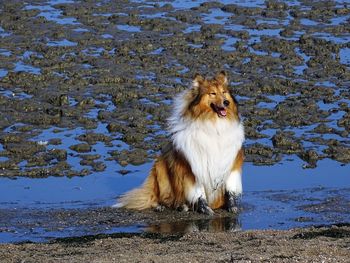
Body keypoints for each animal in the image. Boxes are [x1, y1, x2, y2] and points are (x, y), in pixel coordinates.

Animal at [113, 71, 245, 214]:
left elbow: (230, 189)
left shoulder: (230, 163)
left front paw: (232, 206)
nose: (226, 102)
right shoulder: (194, 165)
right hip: (160, 168)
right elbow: (199, 192)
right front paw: (205, 209)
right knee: (159, 197)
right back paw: (167, 206)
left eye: (224, 92)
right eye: (213, 93)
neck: (215, 127)